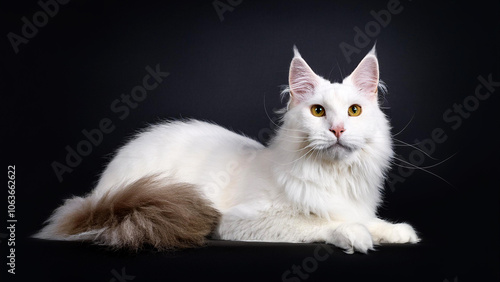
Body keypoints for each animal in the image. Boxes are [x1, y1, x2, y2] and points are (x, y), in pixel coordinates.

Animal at [33, 45, 420, 253]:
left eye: (353, 111)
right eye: (318, 111)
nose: (337, 129)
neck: (334, 177)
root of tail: (99, 195)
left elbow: (365, 218)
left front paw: (395, 231)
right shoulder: (241, 221)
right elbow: (321, 223)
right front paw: (356, 235)